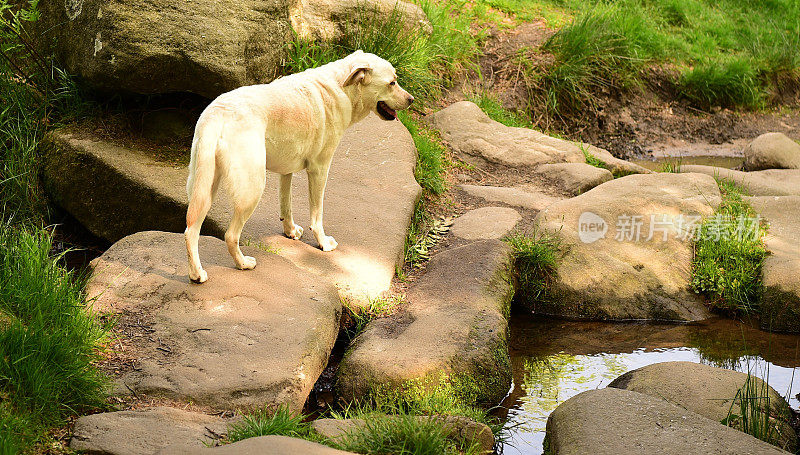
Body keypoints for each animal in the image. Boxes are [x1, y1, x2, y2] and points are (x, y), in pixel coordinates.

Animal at [185, 51, 416, 284]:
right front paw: (323, 243)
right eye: (392, 83)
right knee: (231, 235)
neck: (342, 88)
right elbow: (317, 214)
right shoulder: (319, 170)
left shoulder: (286, 171)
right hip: (251, 190)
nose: (411, 100)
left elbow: (286, 205)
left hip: (204, 189)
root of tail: (217, 114)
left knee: (190, 230)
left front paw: (290, 231)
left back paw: (197, 274)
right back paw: (243, 263)